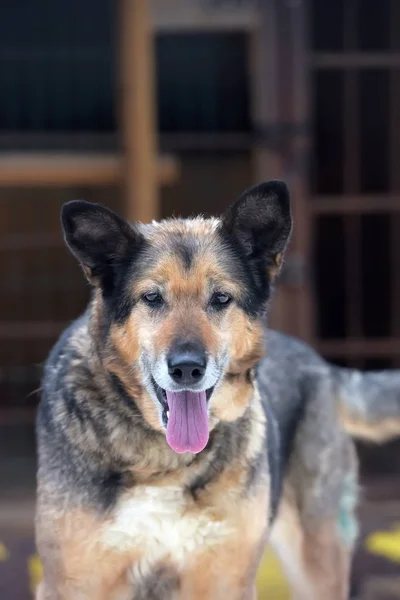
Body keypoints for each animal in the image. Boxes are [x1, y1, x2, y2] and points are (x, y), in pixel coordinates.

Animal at [35, 180, 400, 596]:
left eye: (221, 298)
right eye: (152, 298)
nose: (187, 369)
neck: (165, 460)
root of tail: (320, 364)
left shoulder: (223, 580)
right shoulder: (75, 583)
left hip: (316, 562)